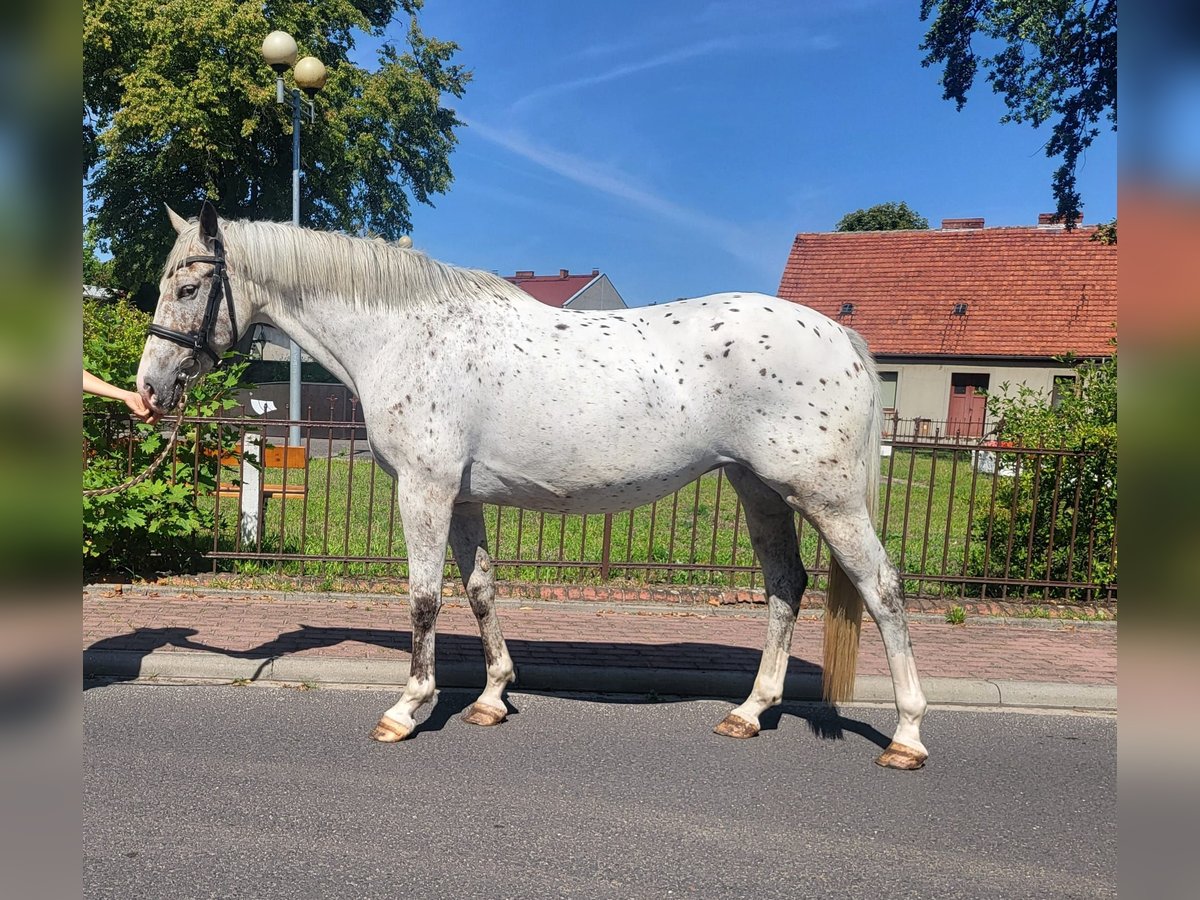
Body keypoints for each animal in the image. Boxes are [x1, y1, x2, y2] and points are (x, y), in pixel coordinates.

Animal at [138, 204, 926, 768]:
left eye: (188, 287)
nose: (150, 388)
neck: (405, 333)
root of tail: (838, 336)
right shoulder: (462, 499)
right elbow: (480, 590)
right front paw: (491, 697)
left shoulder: (424, 492)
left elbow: (424, 600)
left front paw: (406, 709)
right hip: (757, 488)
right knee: (785, 584)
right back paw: (749, 713)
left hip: (826, 497)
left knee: (882, 588)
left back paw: (907, 737)